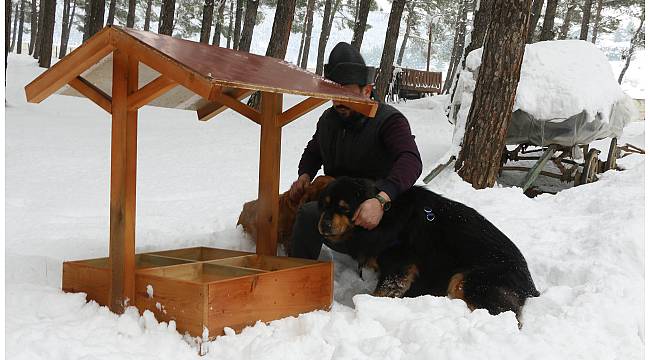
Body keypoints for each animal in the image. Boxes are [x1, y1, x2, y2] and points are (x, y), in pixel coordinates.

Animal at [318, 177, 536, 324]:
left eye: (344, 208)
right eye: (325, 205)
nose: (324, 224)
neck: (386, 217)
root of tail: (529, 283)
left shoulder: (399, 265)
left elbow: (383, 291)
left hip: (467, 280)